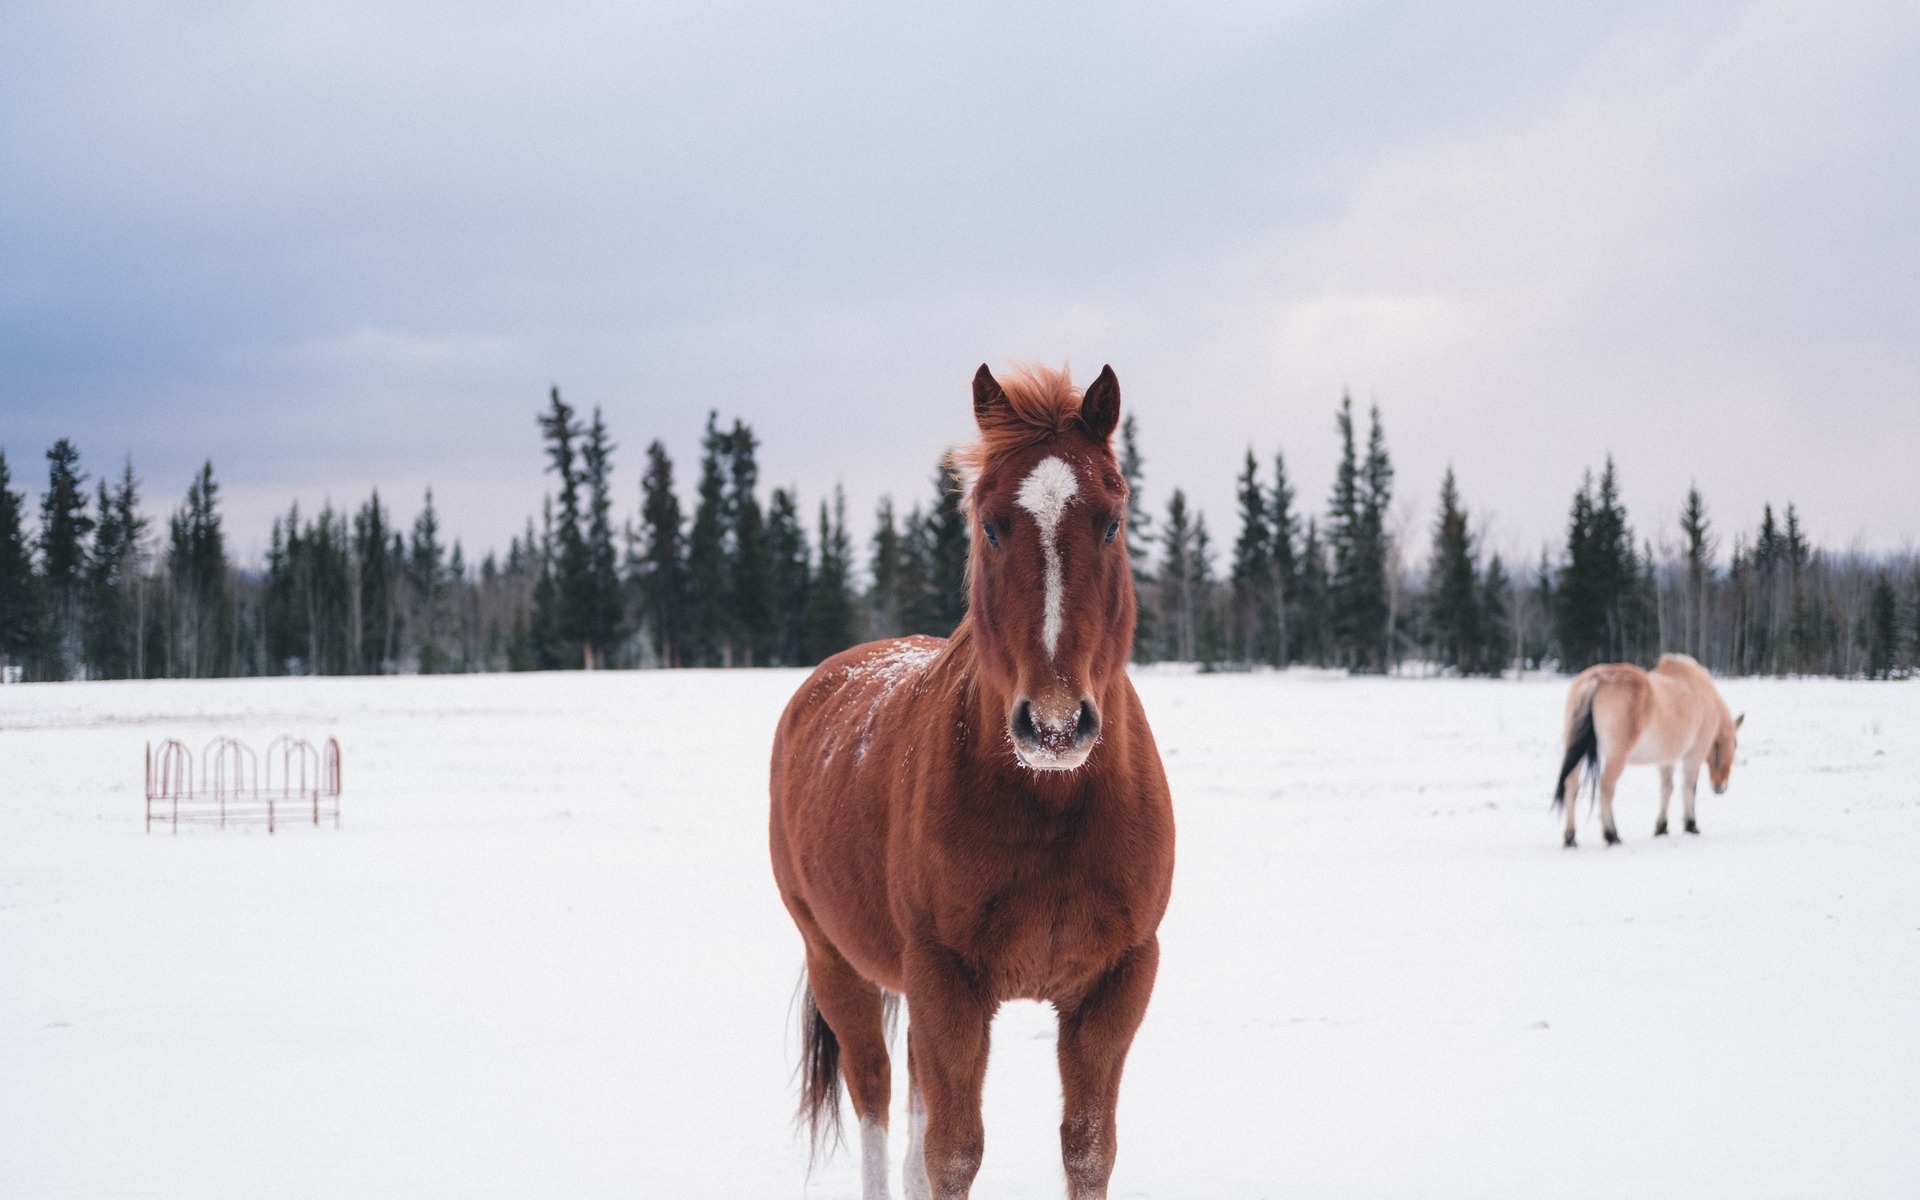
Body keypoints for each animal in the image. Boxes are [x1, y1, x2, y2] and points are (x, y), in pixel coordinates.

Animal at [771, 362, 1175, 1198]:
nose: (1054, 725)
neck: (1051, 806)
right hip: (838, 965)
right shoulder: (946, 983)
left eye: (1113, 521)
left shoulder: (1117, 983)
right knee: (876, 1099)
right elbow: (953, 1152)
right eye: (990, 524)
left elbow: (1088, 1148)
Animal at [1559, 648, 1743, 848]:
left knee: (1571, 786)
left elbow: (1667, 788)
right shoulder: (1694, 756)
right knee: (1606, 786)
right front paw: (1691, 825)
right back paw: (1611, 835)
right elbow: (1689, 787)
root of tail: (1596, 679)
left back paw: (1570, 838)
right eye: (1733, 744)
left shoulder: (1666, 760)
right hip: (1617, 756)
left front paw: (1662, 827)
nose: (1720, 787)